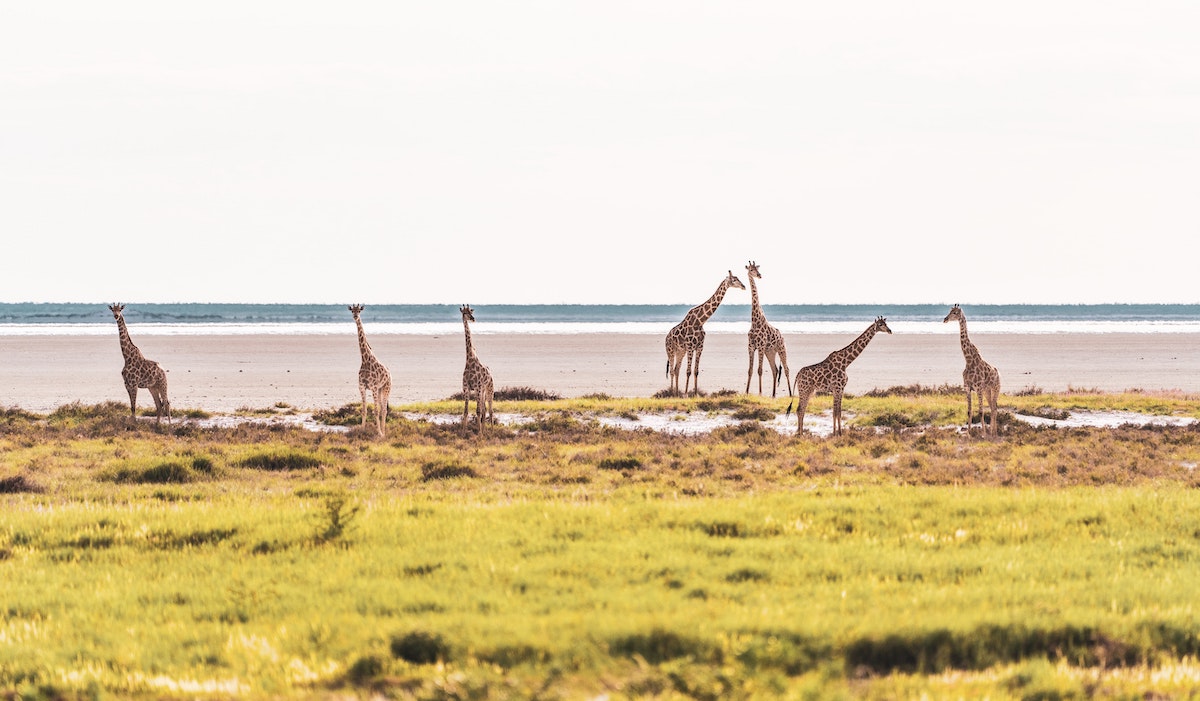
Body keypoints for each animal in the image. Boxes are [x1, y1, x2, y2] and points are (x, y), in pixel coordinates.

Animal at [350, 303, 391, 434]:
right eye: (352, 310)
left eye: (359, 310)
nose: (355, 316)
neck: (365, 360)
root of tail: (389, 373)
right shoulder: (362, 387)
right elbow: (364, 410)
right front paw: (362, 430)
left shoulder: (372, 387)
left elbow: (376, 411)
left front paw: (379, 433)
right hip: (380, 389)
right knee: (383, 408)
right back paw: (383, 430)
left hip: (386, 387)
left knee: (384, 409)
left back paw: (384, 432)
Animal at [460, 303, 494, 434]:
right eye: (464, 312)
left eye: (471, 311)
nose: (473, 318)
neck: (469, 360)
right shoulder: (467, 388)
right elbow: (466, 411)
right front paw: (463, 432)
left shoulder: (478, 388)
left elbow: (478, 411)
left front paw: (479, 434)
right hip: (482, 391)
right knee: (485, 410)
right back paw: (484, 430)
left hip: (489, 390)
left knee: (490, 410)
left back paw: (491, 431)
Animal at [744, 260, 792, 396]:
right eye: (751, 270)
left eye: (757, 269)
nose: (759, 275)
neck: (755, 321)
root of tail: (782, 336)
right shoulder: (751, 346)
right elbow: (750, 370)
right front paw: (746, 392)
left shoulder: (760, 346)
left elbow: (759, 370)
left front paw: (760, 393)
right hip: (770, 351)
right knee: (775, 370)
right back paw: (773, 395)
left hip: (781, 349)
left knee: (786, 369)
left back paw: (791, 394)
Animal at [940, 304, 998, 434]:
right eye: (950, 311)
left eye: (955, 312)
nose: (945, 319)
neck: (969, 360)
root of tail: (998, 373)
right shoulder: (967, 388)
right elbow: (969, 411)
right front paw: (969, 433)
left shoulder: (978, 388)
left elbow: (981, 411)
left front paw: (983, 434)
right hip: (987, 391)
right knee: (992, 407)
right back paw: (992, 431)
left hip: (996, 388)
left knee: (995, 407)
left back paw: (993, 432)